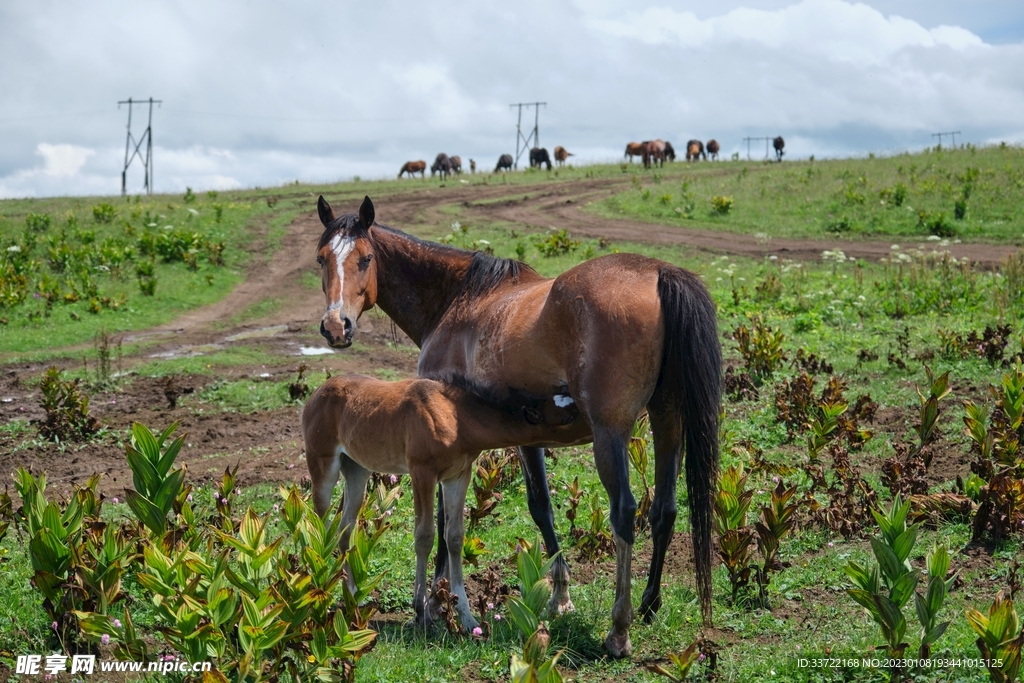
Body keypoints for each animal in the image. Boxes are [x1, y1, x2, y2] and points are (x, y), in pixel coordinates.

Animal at [303, 372, 577, 632]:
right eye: (567, 416)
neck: (455, 417)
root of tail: (316, 394)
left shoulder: (458, 475)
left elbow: (454, 536)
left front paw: (468, 618)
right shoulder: (422, 473)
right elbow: (424, 536)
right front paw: (422, 613)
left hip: (357, 469)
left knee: (345, 528)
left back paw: (351, 596)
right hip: (323, 466)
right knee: (321, 527)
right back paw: (322, 595)